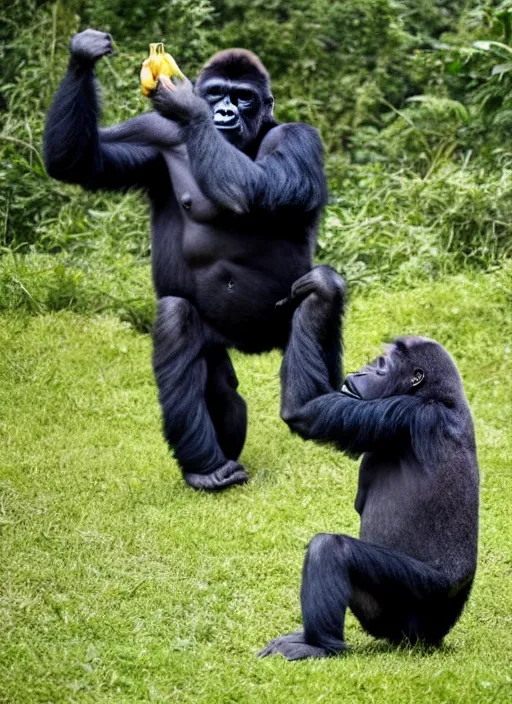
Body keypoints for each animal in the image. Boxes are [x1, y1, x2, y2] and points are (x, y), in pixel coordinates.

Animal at [43, 27, 324, 490]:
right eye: (217, 93)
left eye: (243, 97)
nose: (223, 111)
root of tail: (251, 347)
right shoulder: (153, 134)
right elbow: (80, 163)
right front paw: (83, 56)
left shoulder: (301, 138)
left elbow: (259, 190)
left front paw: (186, 105)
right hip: (218, 338)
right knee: (185, 330)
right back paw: (207, 467)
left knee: (319, 292)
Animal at [260, 266, 480, 664]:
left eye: (380, 366)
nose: (362, 370)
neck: (438, 395)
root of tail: (435, 635)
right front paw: (327, 297)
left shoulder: (400, 415)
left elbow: (306, 410)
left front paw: (323, 288)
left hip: (413, 606)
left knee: (332, 550)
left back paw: (320, 643)